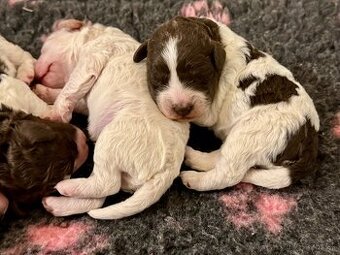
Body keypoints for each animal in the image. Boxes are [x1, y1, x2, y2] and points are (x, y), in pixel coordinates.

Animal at [38, 19, 190, 219]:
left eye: (42, 49)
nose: (35, 74)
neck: (95, 36)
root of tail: (169, 168)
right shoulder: (84, 98)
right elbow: (72, 96)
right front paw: (41, 91)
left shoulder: (93, 57)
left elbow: (70, 87)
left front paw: (55, 112)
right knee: (98, 198)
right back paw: (55, 204)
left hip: (111, 139)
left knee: (108, 185)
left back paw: (65, 187)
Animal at [134, 16, 320, 191]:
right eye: (158, 80)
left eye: (198, 78)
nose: (181, 108)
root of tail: (309, 137)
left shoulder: (208, 109)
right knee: (221, 156)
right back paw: (192, 156)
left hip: (251, 133)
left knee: (228, 174)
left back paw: (193, 178)